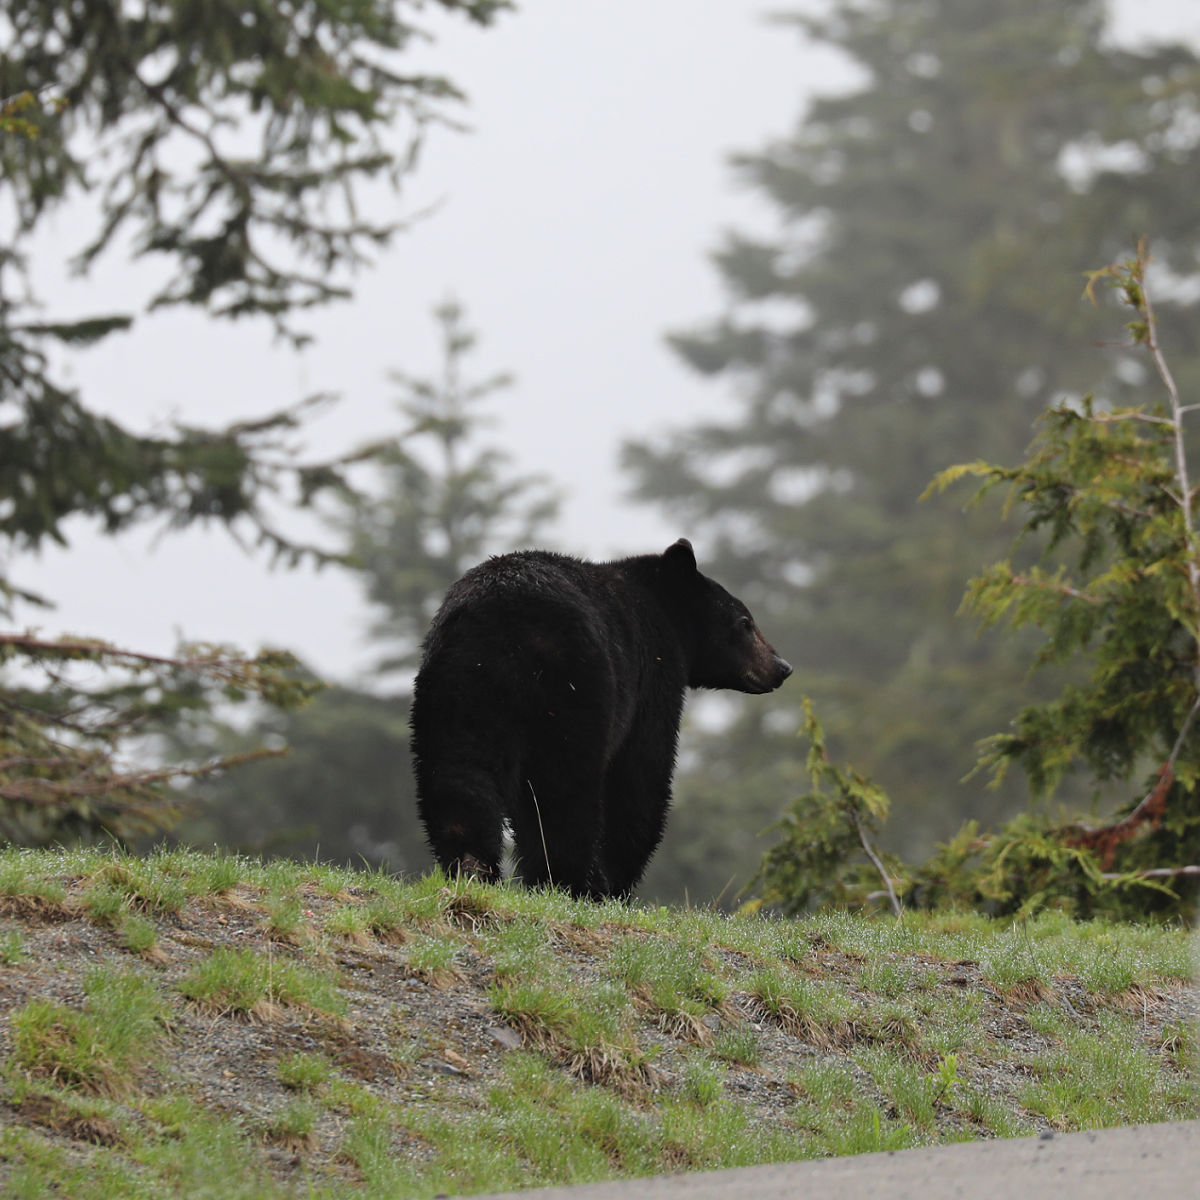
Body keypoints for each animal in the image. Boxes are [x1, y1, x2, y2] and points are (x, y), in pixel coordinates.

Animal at [409, 538, 792, 899]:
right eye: (745, 622)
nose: (782, 666)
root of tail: (501, 620)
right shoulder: (652, 673)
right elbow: (641, 774)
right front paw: (618, 880)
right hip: (573, 686)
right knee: (563, 788)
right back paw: (571, 881)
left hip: (458, 687)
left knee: (459, 771)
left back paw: (471, 866)